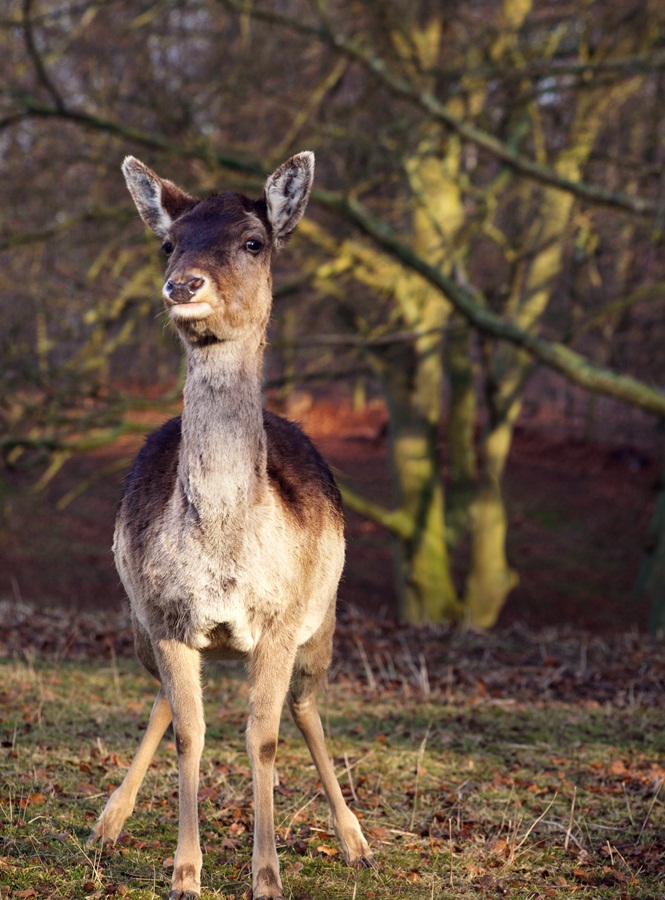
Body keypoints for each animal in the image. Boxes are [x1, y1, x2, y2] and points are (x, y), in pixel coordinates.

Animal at [88, 152, 374, 900]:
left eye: (253, 241)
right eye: (168, 242)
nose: (183, 283)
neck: (223, 552)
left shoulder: (278, 619)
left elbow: (263, 737)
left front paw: (266, 877)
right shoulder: (165, 615)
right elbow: (191, 733)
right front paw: (185, 875)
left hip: (323, 622)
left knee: (306, 707)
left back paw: (356, 840)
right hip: (138, 627)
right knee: (164, 702)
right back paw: (106, 825)